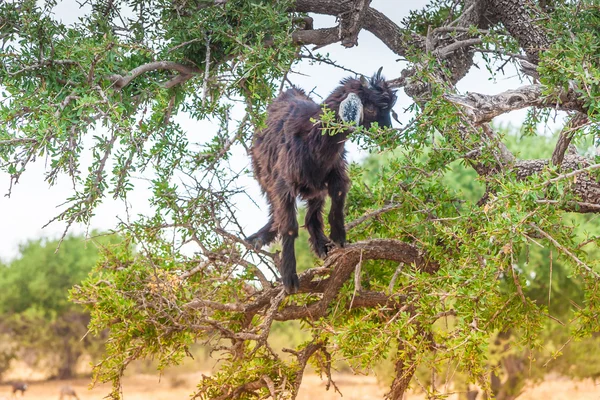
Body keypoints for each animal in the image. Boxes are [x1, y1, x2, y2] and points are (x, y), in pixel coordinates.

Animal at [246, 69, 396, 294]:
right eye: (370, 108)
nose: (389, 134)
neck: (314, 141)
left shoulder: (337, 171)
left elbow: (338, 199)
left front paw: (338, 238)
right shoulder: (284, 182)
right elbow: (289, 225)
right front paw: (289, 278)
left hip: (313, 187)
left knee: (311, 214)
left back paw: (321, 245)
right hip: (263, 172)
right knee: (276, 207)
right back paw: (260, 238)